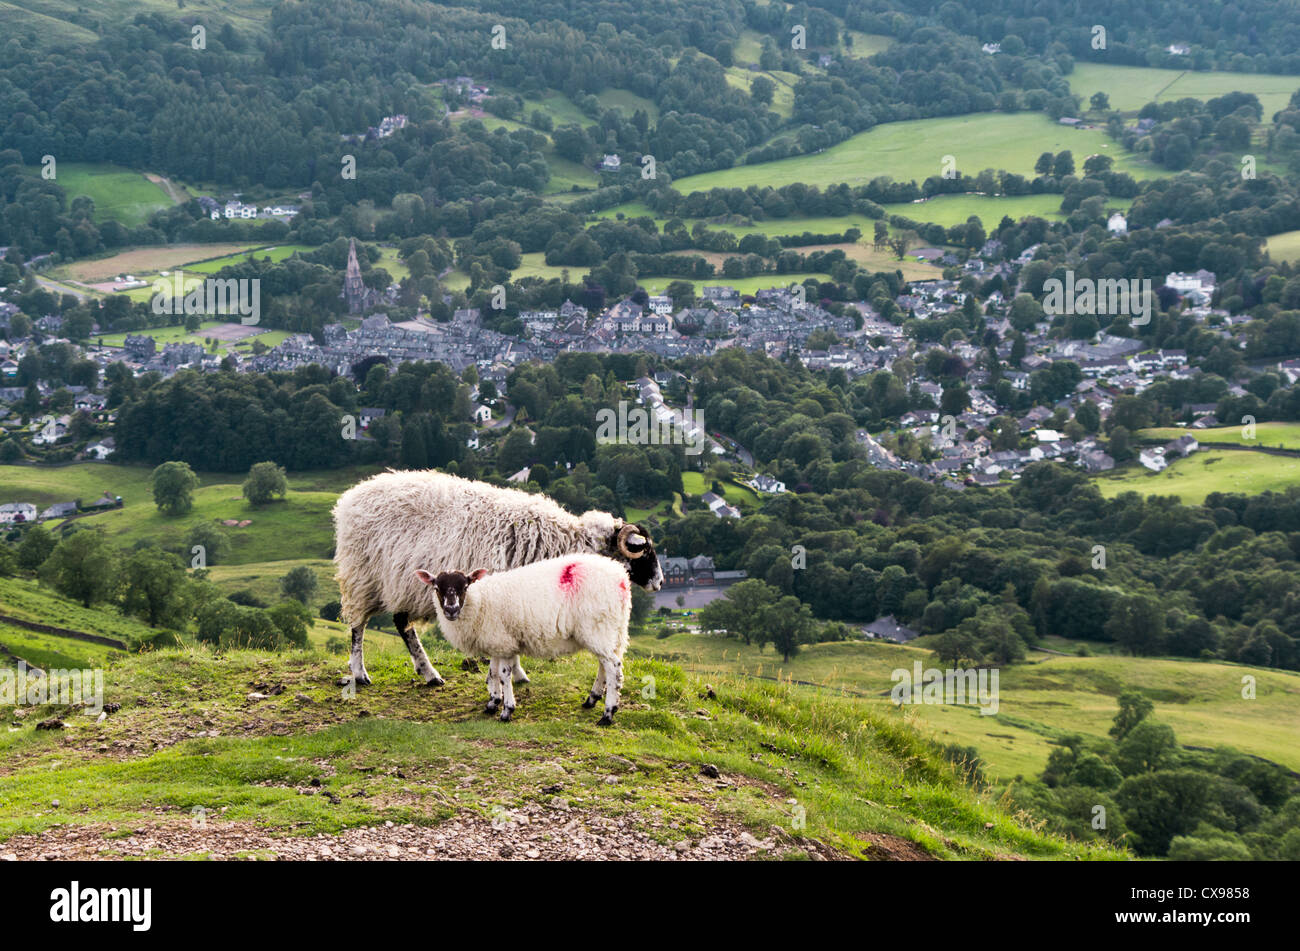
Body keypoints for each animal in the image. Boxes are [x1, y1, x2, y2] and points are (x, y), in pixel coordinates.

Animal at [335, 472, 660, 685]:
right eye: (643, 551)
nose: (658, 582)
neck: (557, 543)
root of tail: (350, 498)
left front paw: (516, 675)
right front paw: (518, 674)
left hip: (403, 584)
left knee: (402, 623)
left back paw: (429, 674)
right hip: (362, 576)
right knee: (358, 626)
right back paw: (360, 673)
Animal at [413, 553, 631, 722]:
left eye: (465, 586)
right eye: (437, 588)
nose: (451, 610)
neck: (481, 601)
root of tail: (621, 577)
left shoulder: (504, 644)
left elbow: (503, 675)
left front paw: (507, 710)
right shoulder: (496, 641)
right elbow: (492, 673)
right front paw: (492, 703)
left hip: (597, 628)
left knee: (613, 667)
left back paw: (608, 714)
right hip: (610, 631)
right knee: (605, 665)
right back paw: (592, 699)